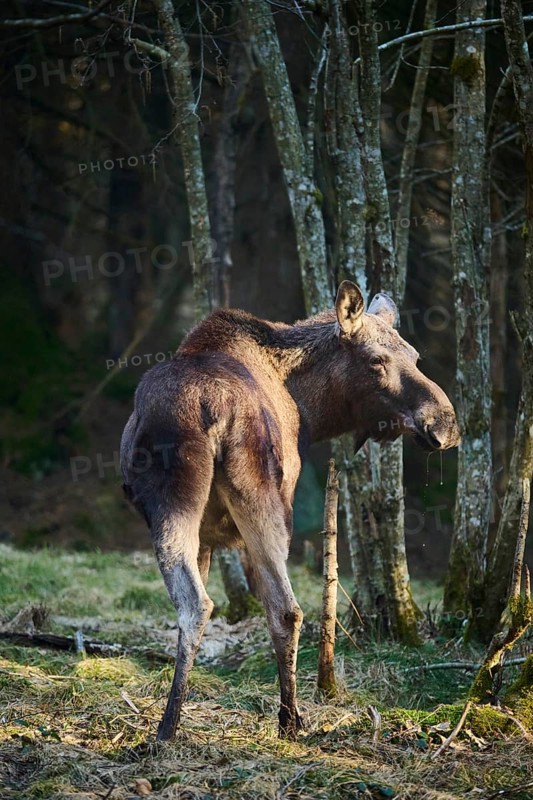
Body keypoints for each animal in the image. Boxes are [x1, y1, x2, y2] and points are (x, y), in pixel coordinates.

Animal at [120, 281, 460, 742]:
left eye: (416, 356)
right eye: (376, 360)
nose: (444, 424)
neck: (312, 408)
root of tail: (213, 408)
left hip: (195, 502)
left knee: (206, 604)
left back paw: (177, 726)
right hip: (243, 500)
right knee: (281, 608)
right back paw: (284, 720)